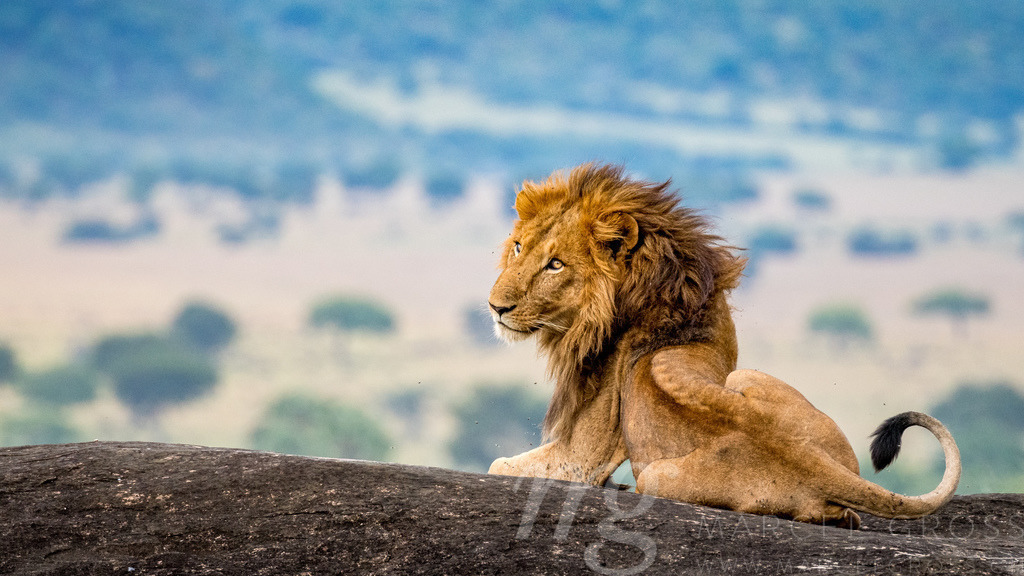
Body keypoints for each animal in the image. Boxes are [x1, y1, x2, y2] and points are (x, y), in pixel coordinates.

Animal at [486, 163, 960, 528]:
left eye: (555, 264)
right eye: (518, 247)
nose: (496, 307)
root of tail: (816, 465)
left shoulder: (584, 454)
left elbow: (498, 465)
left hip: (658, 474)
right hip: (746, 378)